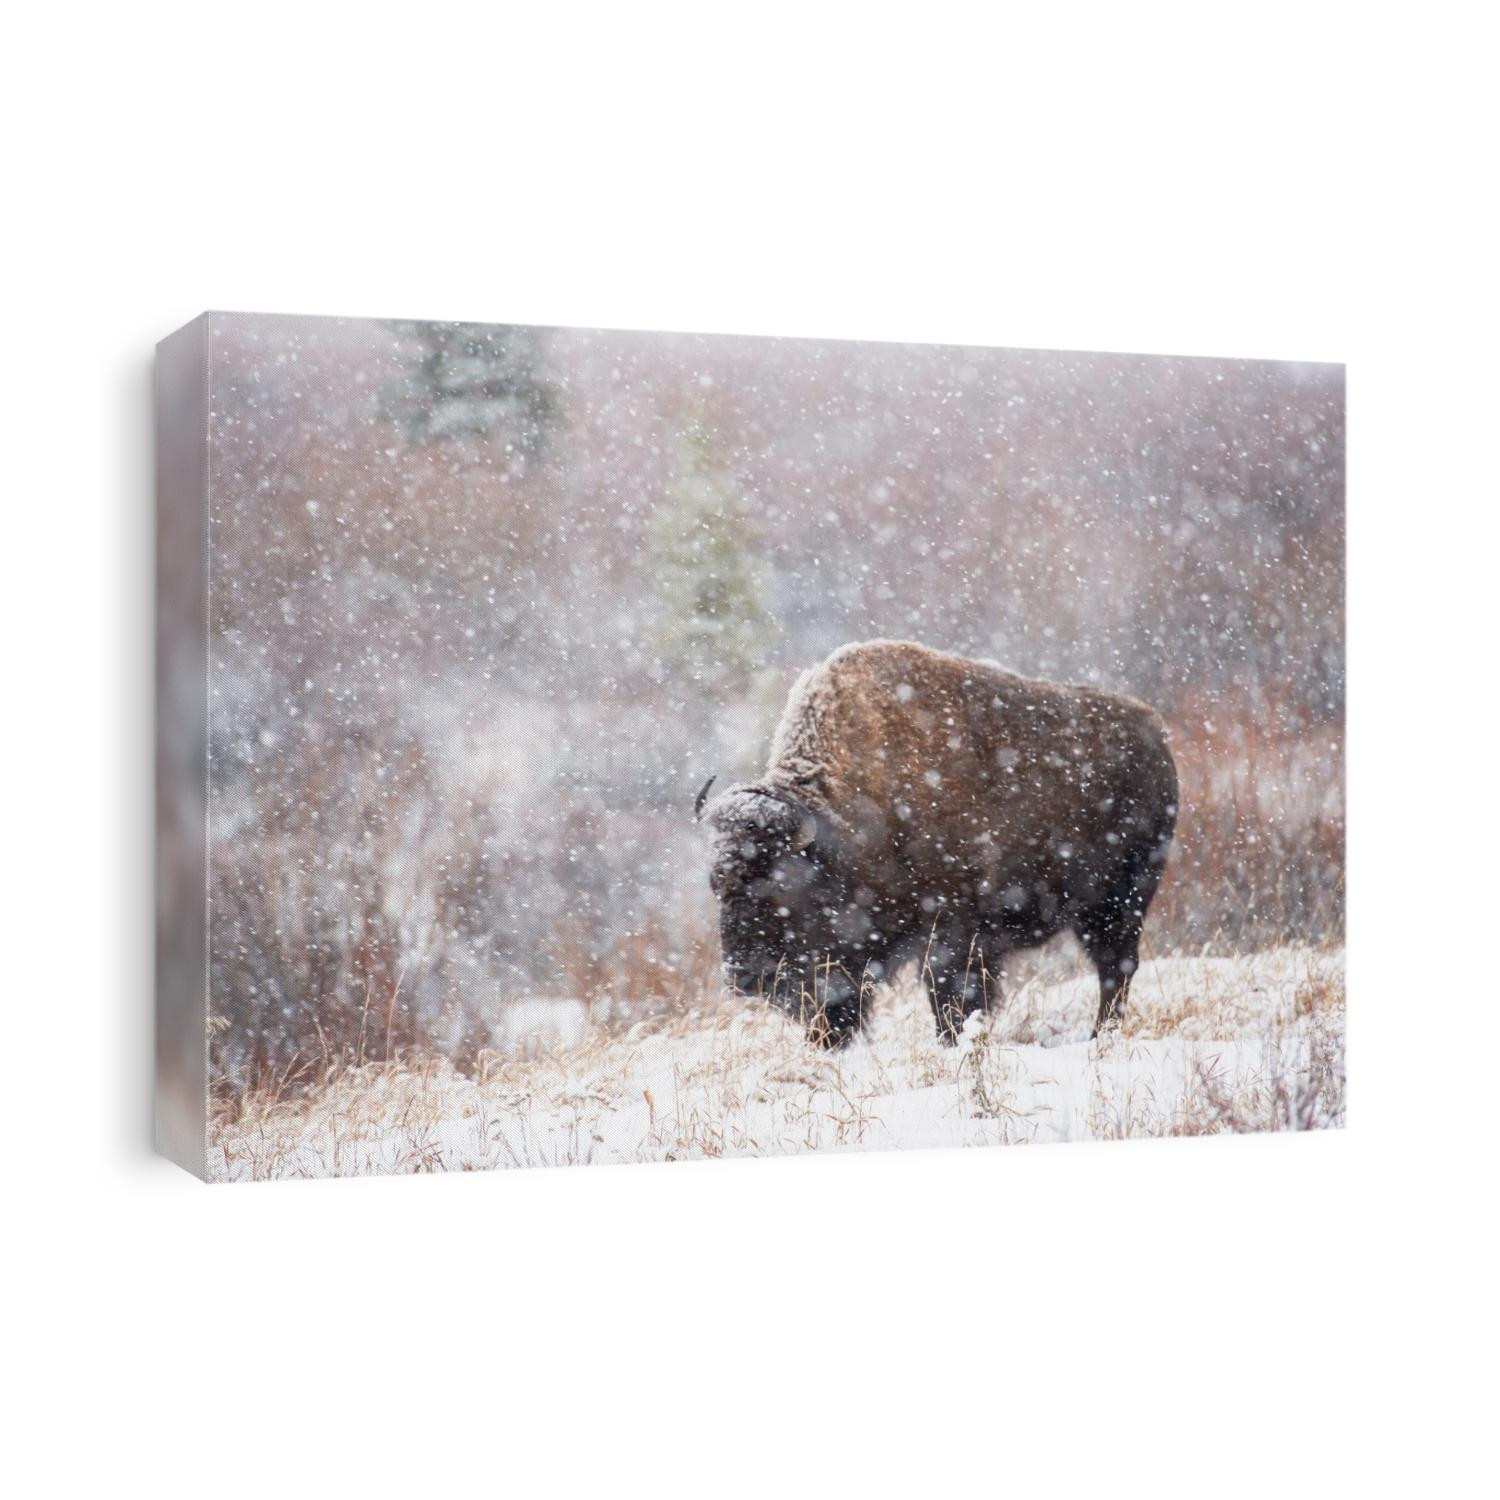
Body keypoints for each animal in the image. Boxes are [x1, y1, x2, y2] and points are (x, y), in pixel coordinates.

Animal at [698, 639, 1178, 1047]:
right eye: (715, 883)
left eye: (779, 886)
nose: (743, 977)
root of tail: (1157, 734)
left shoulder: (954, 933)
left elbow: (950, 997)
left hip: (1120, 904)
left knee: (1116, 968)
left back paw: (1100, 1037)